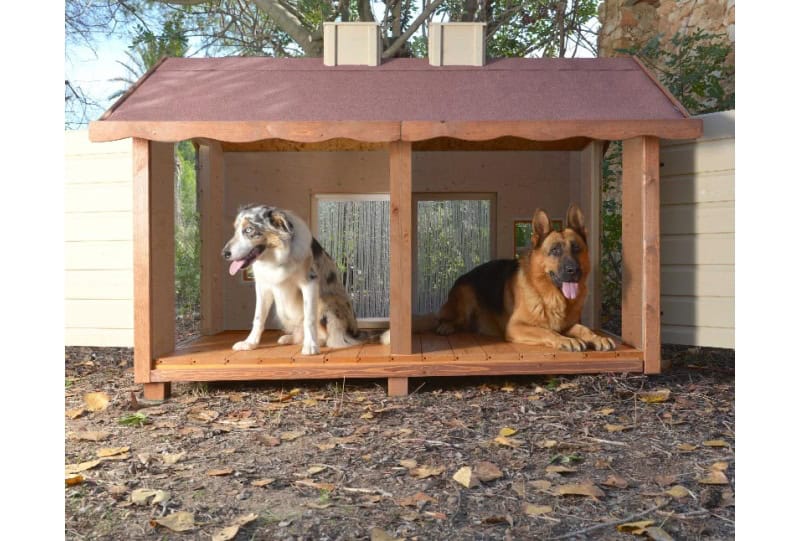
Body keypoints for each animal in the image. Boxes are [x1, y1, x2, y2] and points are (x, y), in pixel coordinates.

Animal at [225, 204, 362, 354]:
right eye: (235, 230)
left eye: (249, 229)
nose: (224, 253)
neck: (275, 256)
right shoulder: (263, 286)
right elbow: (258, 317)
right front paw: (250, 343)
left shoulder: (309, 283)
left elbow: (309, 318)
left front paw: (311, 346)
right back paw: (290, 338)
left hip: (330, 303)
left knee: (331, 336)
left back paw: (318, 342)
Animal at [434, 202, 616, 350]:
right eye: (555, 250)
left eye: (576, 248)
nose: (573, 270)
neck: (549, 296)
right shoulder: (516, 326)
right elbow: (546, 331)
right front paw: (566, 340)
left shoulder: (569, 324)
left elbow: (584, 329)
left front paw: (598, 338)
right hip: (466, 297)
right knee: (449, 320)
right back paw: (446, 327)